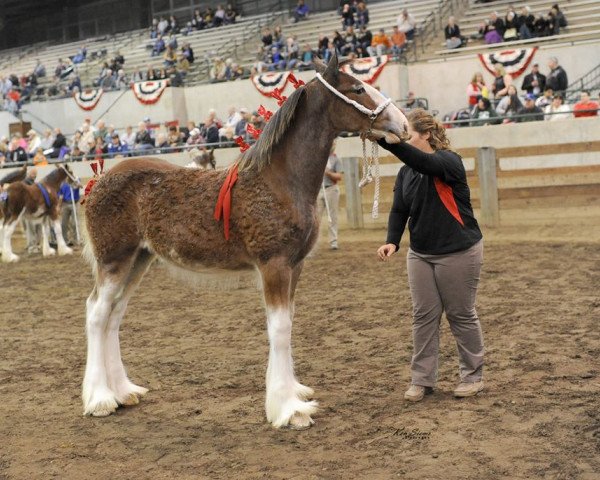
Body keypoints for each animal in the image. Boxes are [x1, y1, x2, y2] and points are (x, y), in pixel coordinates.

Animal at [83, 54, 408, 430]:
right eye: (357, 88)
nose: (403, 123)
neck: (279, 181)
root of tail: (98, 180)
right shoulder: (274, 266)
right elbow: (279, 329)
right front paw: (288, 410)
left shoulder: (294, 267)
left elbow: (288, 323)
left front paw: (293, 393)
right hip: (114, 260)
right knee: (97, 313)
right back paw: (100, 399)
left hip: (138, 260)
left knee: (114, 315)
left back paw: (123, 391)